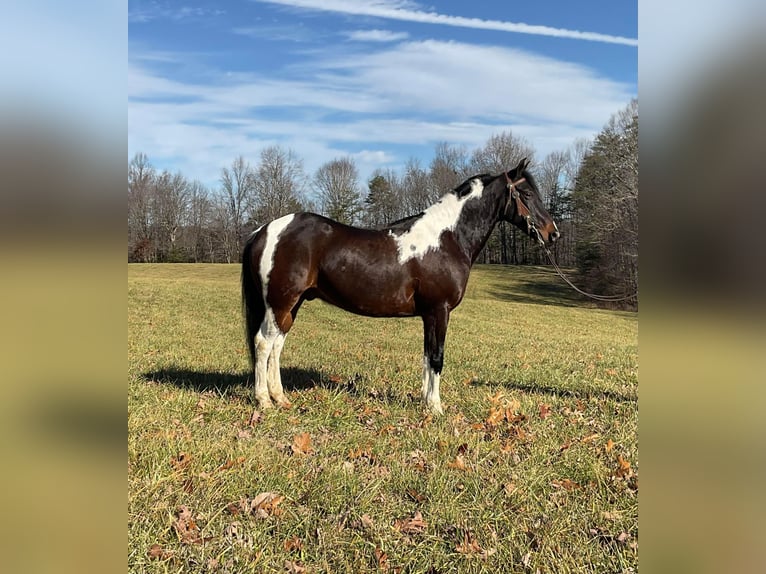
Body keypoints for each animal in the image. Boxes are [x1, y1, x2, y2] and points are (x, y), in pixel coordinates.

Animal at [243, 158, 560, 418]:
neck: (447, 238)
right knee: (263, 343)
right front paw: (437, 408)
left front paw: (426, 401)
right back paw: (264, 401)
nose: (552, 233)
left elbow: (427, 355)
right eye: (527, 194)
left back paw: (281, 398)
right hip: (281, 303)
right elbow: (437, 357)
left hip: (290, 305)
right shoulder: (440, 311)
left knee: (277, 345)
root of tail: (264, 230)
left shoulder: (429, 315)